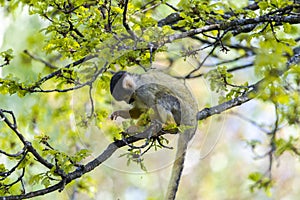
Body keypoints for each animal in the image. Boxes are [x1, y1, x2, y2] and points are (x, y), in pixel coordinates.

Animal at [109, 69, 198, 199]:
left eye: (125, 96)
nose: (128, 101)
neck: (137, 82)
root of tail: (192, 128)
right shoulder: (136, 95)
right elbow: (140, 109)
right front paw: (121, 114)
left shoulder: (142, 89)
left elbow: (151, 106)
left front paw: (136, 128)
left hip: (182, 113)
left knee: (161, 97)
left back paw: (168, 125)